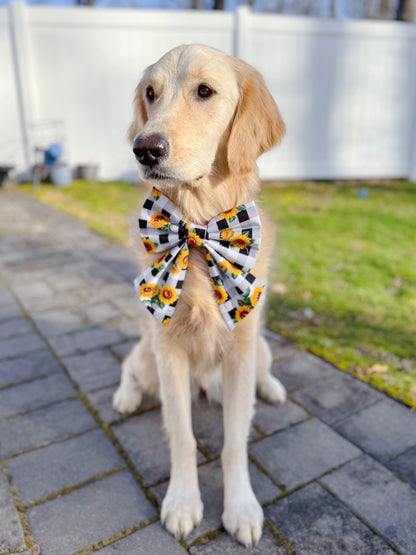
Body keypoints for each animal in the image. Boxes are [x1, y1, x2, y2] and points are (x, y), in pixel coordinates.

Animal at [114, 43, 290, 548]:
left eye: (205, 91)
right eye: (151, 94)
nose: (145, 147)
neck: (197, 231)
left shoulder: (242, 351)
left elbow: (234, 442)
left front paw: (242, 508)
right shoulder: (168, 351)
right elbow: (183, 437)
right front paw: (183, 502)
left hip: (259, 349)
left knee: (264, 374)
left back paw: (272, 388)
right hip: (147, 356)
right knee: (129, 368)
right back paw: (125, 397)